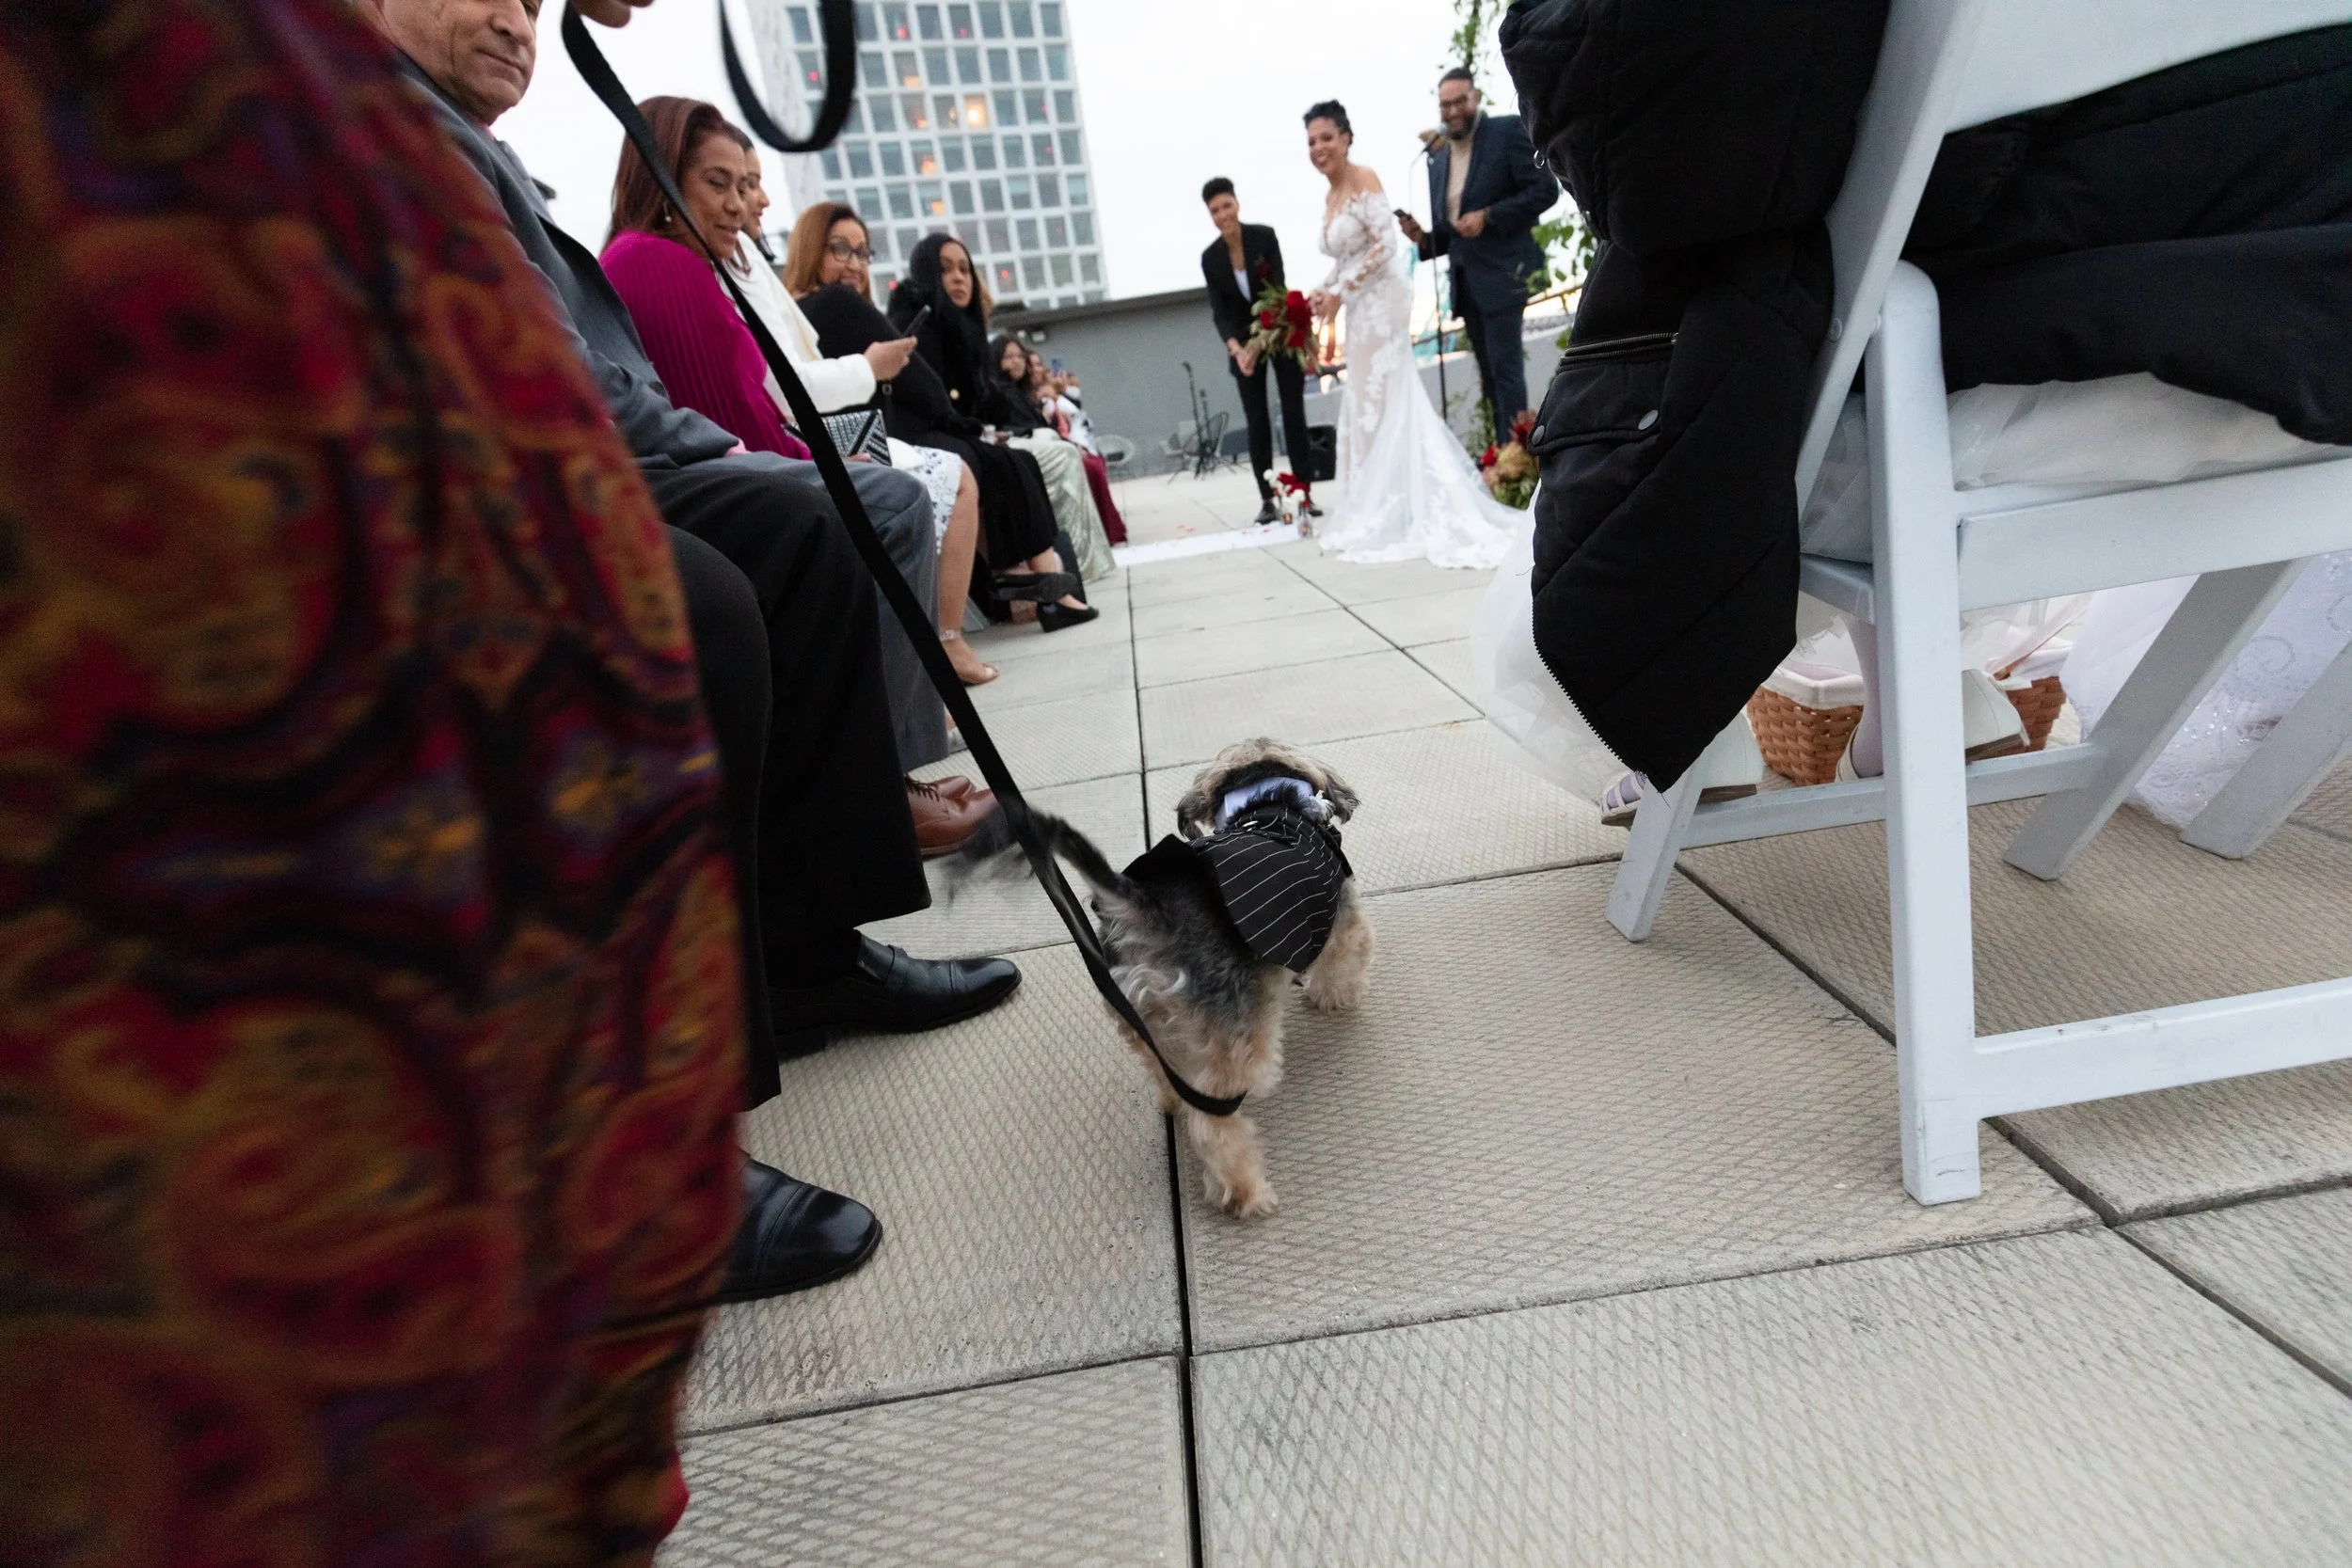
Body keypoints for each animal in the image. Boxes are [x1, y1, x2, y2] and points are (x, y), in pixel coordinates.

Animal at [961, 739, 1372, 1217]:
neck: (1269, 800)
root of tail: (1143, 909)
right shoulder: (1342, 920)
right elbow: (1345, 960)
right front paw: (1336, 997)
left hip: (1140, 1018)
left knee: (1168, 1075)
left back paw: (1174, 1101)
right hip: (1237, 1044)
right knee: (1212, 1121)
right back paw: (1245, 1192)